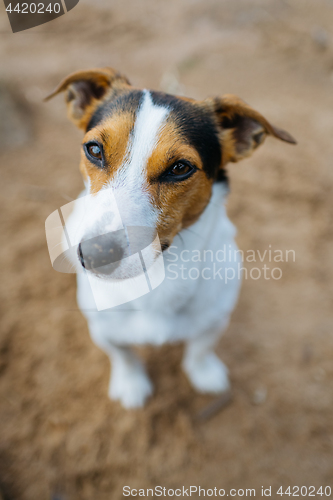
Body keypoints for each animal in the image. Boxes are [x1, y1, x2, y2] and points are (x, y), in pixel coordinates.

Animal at [44, 66, 296, 408]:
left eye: (180, 168)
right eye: (94, 150)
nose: (96, 254)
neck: (157, 276)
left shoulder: (215, 319)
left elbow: (201, 348)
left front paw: (204, 372)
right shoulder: (102, 329)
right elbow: (122, 355)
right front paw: (130, 383)